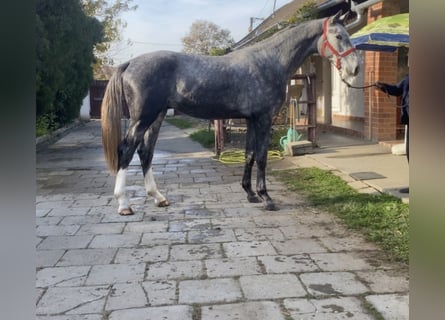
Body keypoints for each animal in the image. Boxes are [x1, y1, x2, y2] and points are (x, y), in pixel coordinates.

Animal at [101, 11, 360, 215]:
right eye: (339, 36)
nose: (355, 68)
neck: (269, 61)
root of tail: (130, 63)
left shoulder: (251, 120)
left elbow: (249, 155)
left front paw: (250, 193)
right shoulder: (263, 119)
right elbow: (262, 156)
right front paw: (266, 198)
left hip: (157, 116)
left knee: (146, 152)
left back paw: (158, 197)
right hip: (142, 118)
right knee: (127, 150)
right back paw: (124, 204)